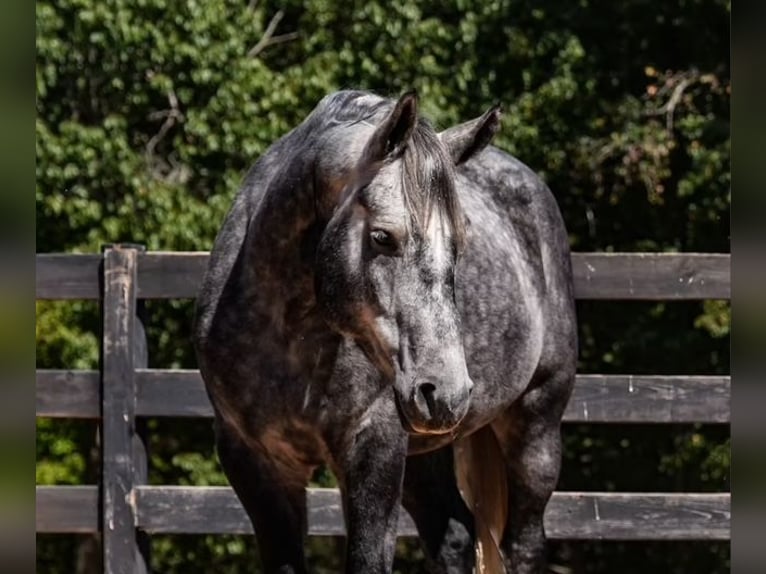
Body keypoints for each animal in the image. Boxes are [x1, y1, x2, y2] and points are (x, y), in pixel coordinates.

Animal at [193, 89, 577, 574]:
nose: (447, 392)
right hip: (424, 451)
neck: (289, 336)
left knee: (524, 545)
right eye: (381, 237)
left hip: (535, 425)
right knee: (454, 535)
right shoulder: (255, 461)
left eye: (461, 245)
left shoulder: (373, 450)